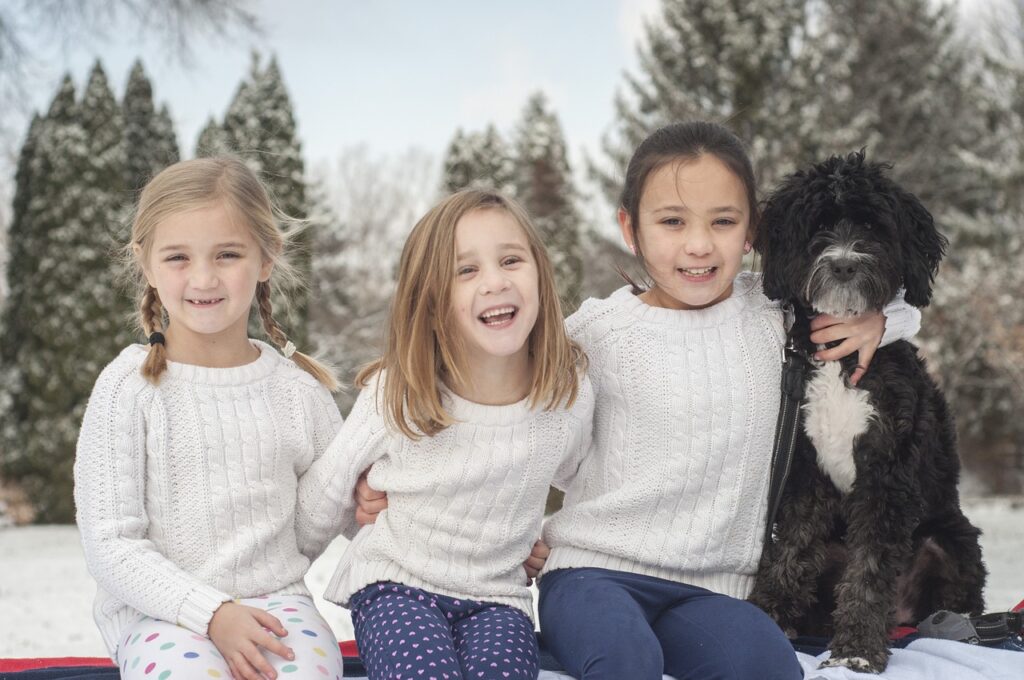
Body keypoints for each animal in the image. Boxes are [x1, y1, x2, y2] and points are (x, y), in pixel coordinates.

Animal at [749, 151, 987, 671]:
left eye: (873, 225)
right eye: (819, 225)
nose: (843, 266)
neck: (842, 353)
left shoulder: (887, 475)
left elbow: (871, 570)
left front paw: (856, 651)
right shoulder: (805, 471)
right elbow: (792, 549)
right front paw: (769, 616)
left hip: (952, 542)